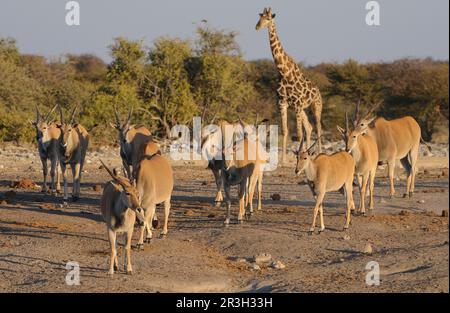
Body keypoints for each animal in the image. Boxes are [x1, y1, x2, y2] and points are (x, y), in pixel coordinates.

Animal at [255, 7, 322, 163]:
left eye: (268, 19)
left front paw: (297, 156)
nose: (257, 27)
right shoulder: (282, 103)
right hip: (302, 109)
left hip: (316, 106)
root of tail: (318, 91)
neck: (284, 72)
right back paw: (308, 153)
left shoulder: (296, 105)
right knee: (309, 127)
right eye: (260, 18)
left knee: (318, 127)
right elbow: (285, 130)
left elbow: (298, 133)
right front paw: (283, 160)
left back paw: (320, 153)